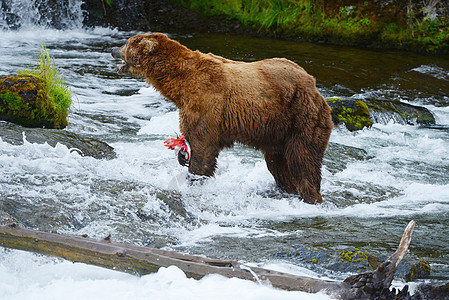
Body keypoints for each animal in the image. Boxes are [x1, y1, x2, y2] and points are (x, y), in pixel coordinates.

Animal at [112, 32, 332, 204]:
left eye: (127, 43)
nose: (113, 49)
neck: (179, 84)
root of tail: (314, 86)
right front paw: (183, 157)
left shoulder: (206, 103)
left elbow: (202, 146)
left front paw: (193, 179)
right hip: (276, 131)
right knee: (278, 163)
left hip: (300, 117)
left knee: (303, 160)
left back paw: (311, 196)